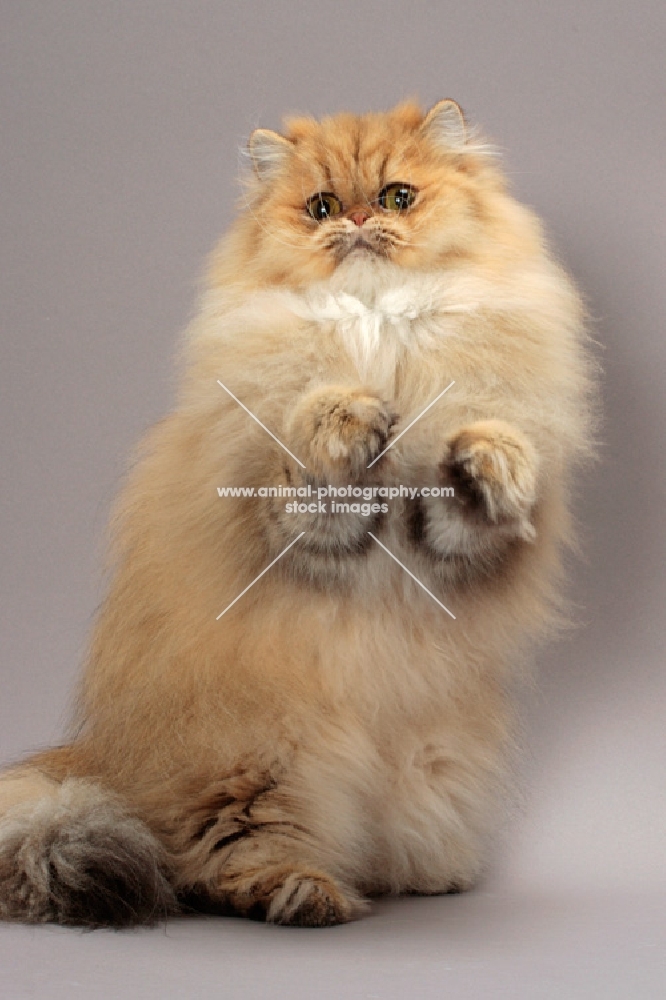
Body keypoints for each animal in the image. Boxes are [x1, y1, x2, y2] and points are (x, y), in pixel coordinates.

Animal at [0, 97, 592, 924]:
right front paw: (350, 414)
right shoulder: (292, 520)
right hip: (260, 761)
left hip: (435, 763)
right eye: (321, 207)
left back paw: (422, 874)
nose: (357, 219)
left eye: (397, 197)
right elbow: (316, 451)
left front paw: (489, 456)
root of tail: (110, 759)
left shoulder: (451, 542)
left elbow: (476, 464)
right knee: (218, 857)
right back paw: (306, 892)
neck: (381, 331)